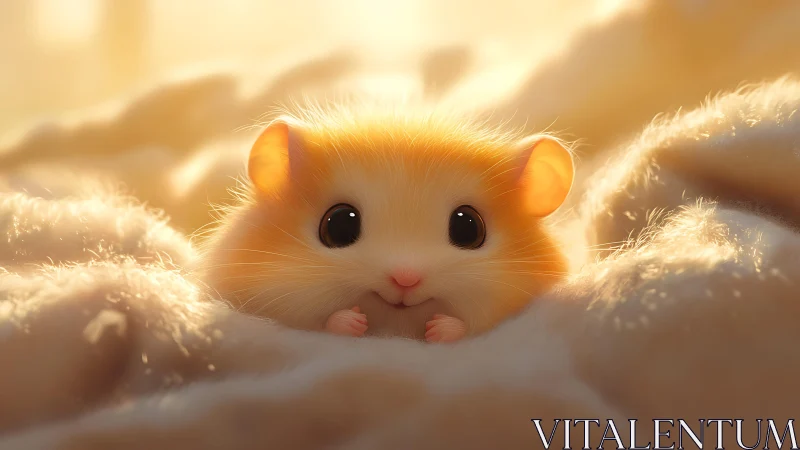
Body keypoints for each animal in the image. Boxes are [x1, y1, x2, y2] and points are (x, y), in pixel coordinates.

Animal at [198, 104, 574, 342]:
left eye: (469, 228)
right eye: (338, 225)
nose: (405, 280)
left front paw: (437, 328)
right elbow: (324, 322)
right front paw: (355, 320)